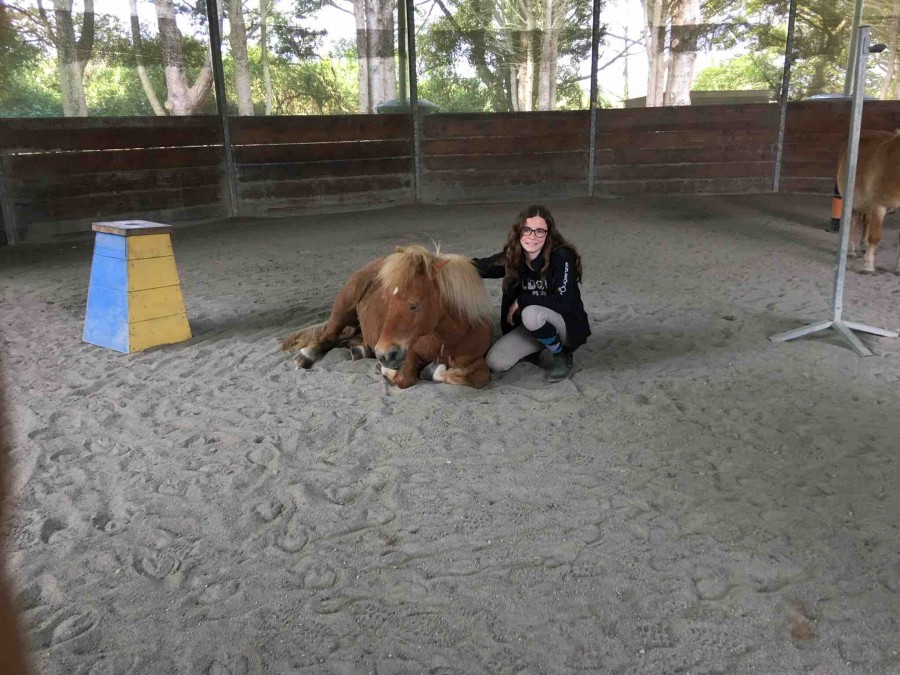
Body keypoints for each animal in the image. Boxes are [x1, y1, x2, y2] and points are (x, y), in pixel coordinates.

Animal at [281, 244, 494, 389]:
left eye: (414, 305)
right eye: (388, 300)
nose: (384, 355)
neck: (446, 339)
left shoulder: (474, 360)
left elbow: (478, 377)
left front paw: (434, 371)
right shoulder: (409, 353)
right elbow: (404, 378)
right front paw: (385, 369)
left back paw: (359, 350)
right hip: (343, 307)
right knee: (329, 336)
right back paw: (305, 355)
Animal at [836, 129, 900, 274]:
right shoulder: (878, 205)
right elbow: (874, 237)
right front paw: (868, 266)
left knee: (866, 222)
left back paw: (863, 245)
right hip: (853, 200)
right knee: (853, 222)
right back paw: (851, 251)